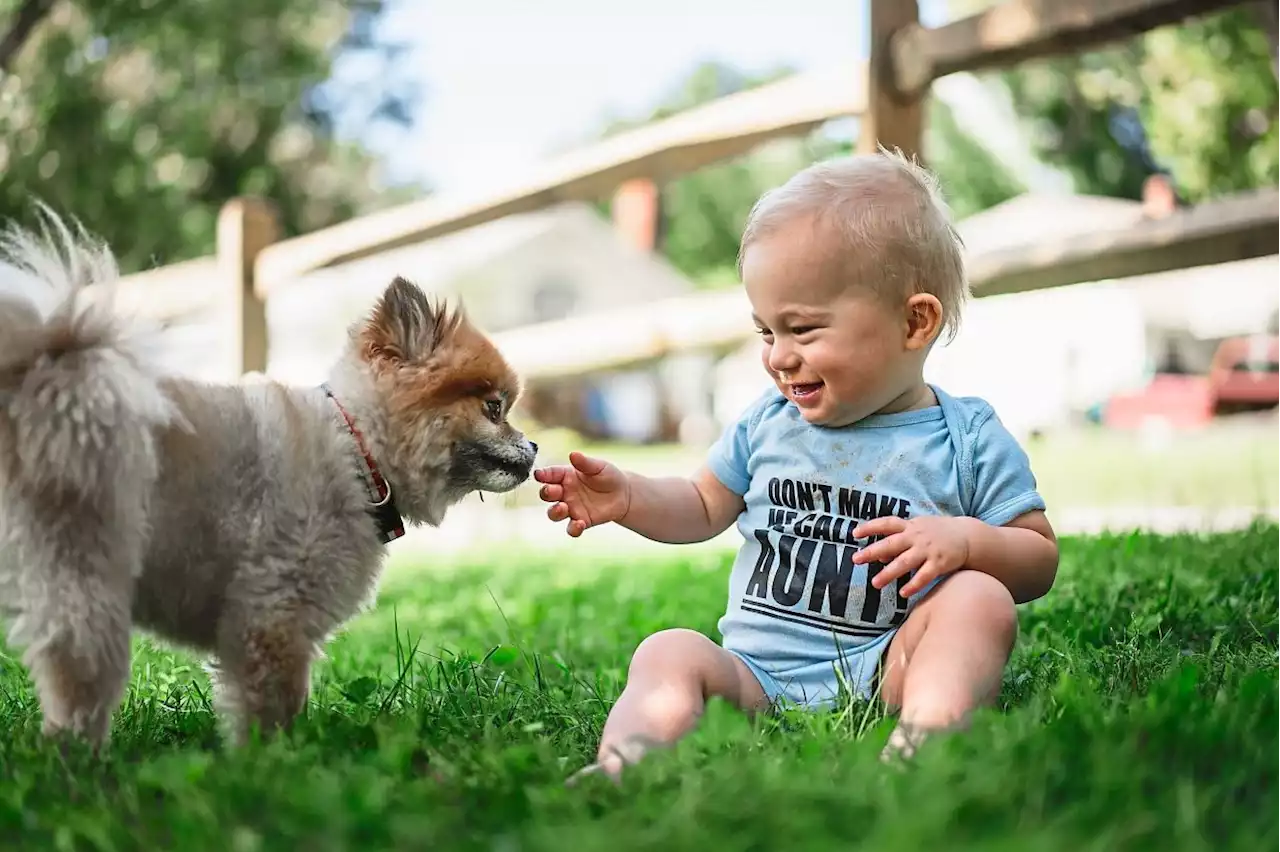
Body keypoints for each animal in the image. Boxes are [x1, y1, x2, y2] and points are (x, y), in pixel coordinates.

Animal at [0, 205, 537, 741]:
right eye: (494, 408)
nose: (534, 445)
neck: (357, 452)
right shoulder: (273, 611)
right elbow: (275, 702)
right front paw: (277, 756)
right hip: (87, 572)